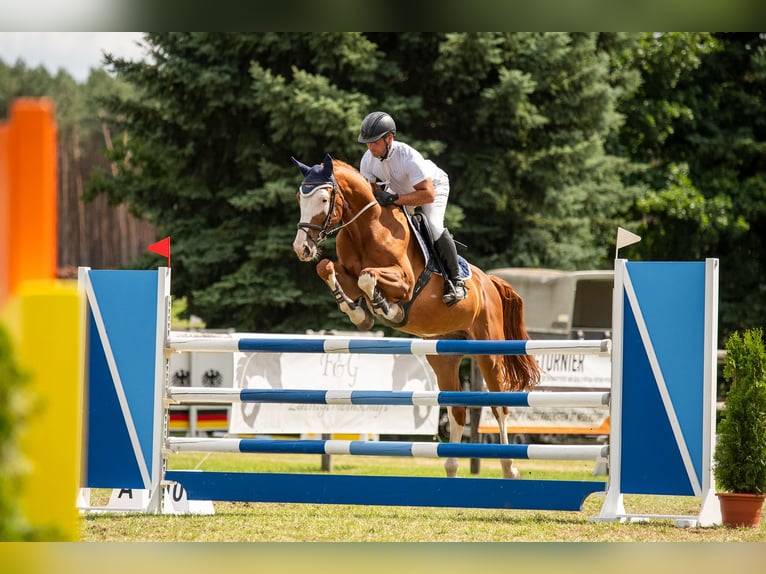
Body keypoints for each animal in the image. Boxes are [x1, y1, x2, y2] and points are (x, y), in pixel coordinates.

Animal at [291, 154, 541, 478]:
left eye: (323, 198)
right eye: (300, 198)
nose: (302, 248)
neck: (365, 229)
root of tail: (489, 282)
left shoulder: (405, 282)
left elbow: (368, 277)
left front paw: (387, 309)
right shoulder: (346, 273)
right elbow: (330, 270)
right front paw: (359, 314)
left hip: (488, 351)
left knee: (499, 406)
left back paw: (510, 468)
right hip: (443, 355)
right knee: (457, 408)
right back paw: (451, 466)